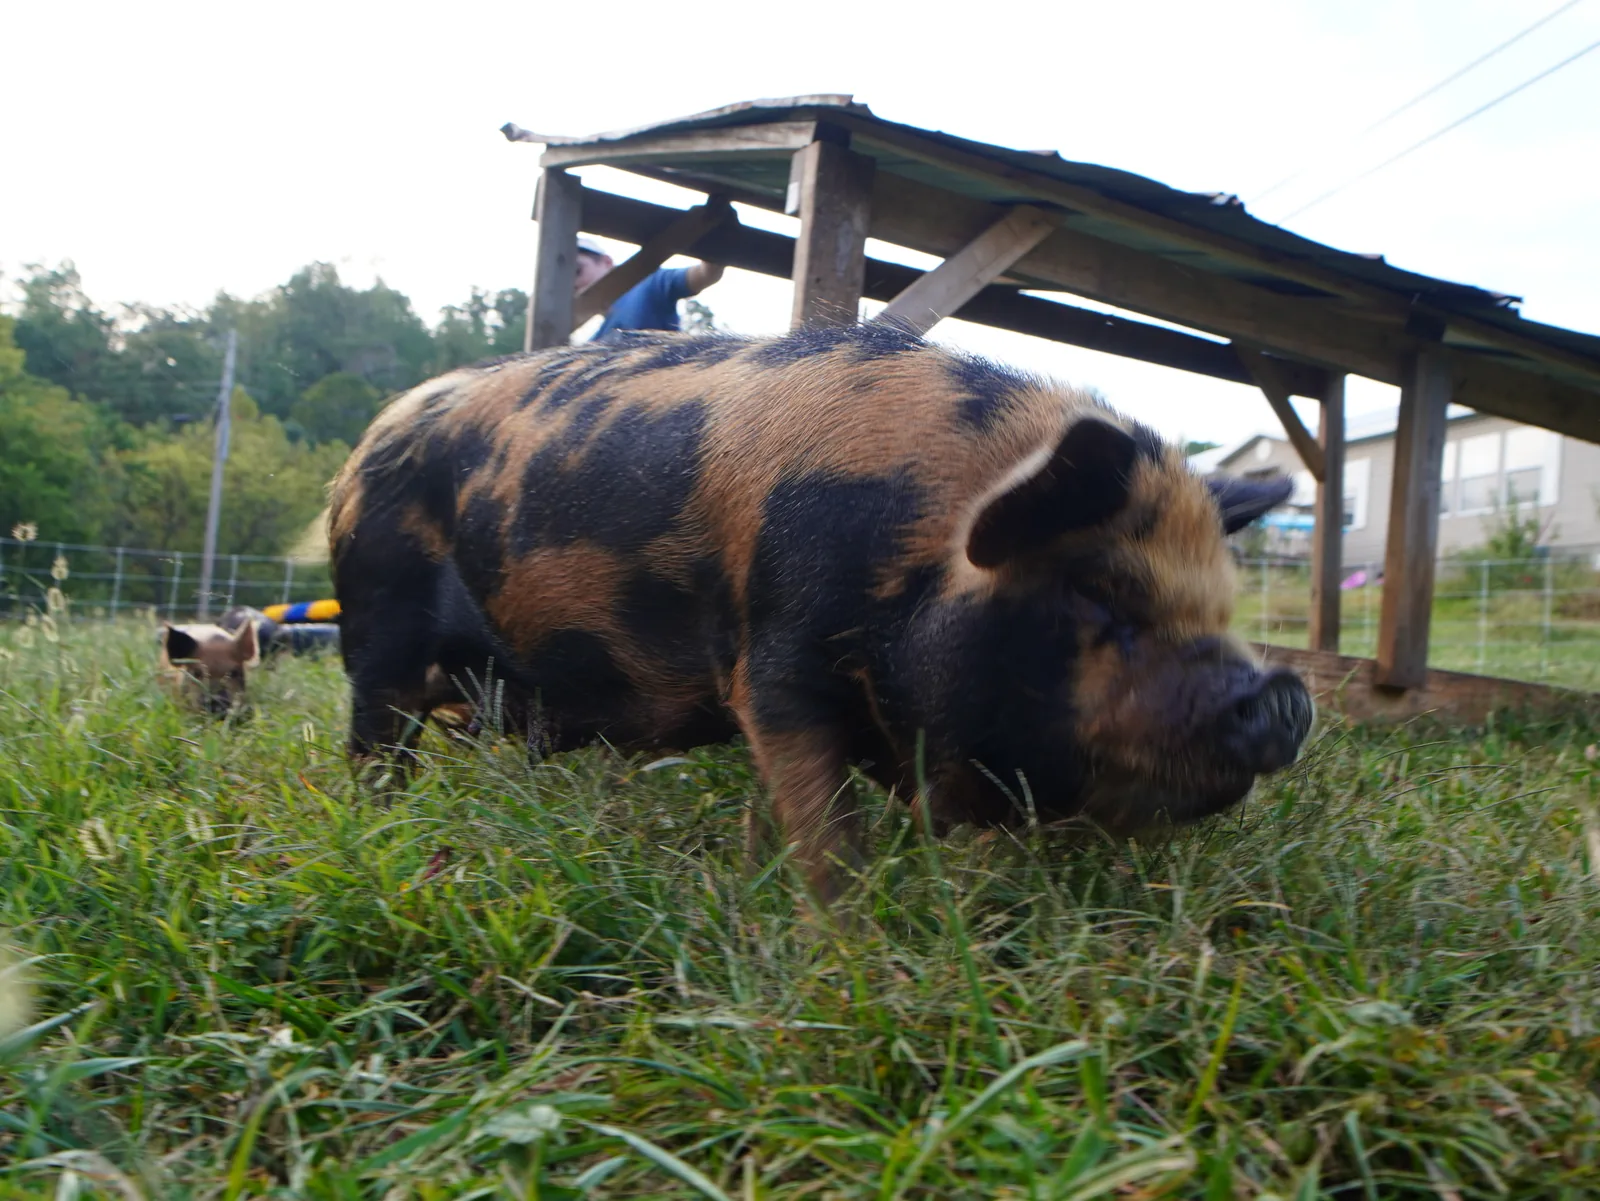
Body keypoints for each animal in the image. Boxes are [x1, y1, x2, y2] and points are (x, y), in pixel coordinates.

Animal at [328, 324, 1313, 899]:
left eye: (1224, 608)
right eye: (1100, 593)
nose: (1284, 694)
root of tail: (368, 441)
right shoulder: (772, 658)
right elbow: (824, 818)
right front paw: (844, 939)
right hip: (378, 626)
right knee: (377, 737)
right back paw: (382, 829)